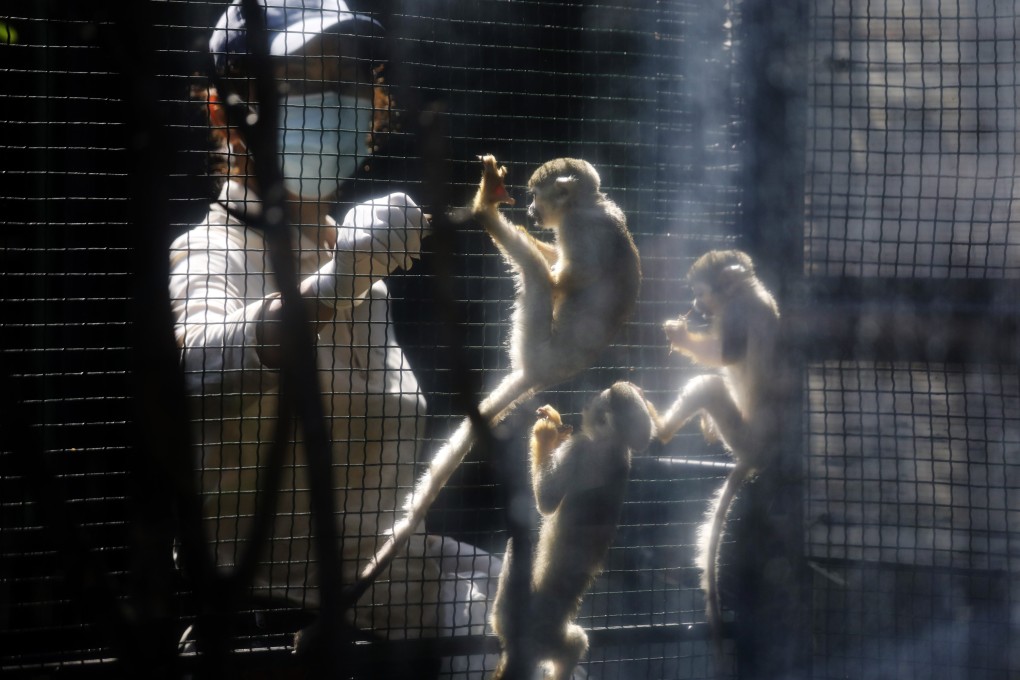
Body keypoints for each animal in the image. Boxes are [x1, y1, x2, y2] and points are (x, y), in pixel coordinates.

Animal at [359, 153, 640, 587]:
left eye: (537, 196)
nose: (531, 211)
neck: (587, 205)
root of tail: (543, 373)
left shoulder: (581, 230)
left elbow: (560, 282)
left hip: (534, 343)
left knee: (540, 277)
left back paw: (484, 209)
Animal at [487, 383, 652, 680]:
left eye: (597, 401)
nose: (587, 401)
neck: (615, 445)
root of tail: (527, 649)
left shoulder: (580, 448)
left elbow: (547, 502)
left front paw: (546, 433)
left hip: (513, 617)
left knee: (517, 546)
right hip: (556, 638)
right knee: (577, 642)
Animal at [652, 249, 779, 652]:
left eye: (699, 292)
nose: (694, 305)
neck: (745, 291)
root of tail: (756, 457)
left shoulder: (737, 313)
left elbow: (726, 357)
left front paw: (678, 334)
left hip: (743, 436)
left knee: (711, 385)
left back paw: (662, 429)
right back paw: (704, 426)